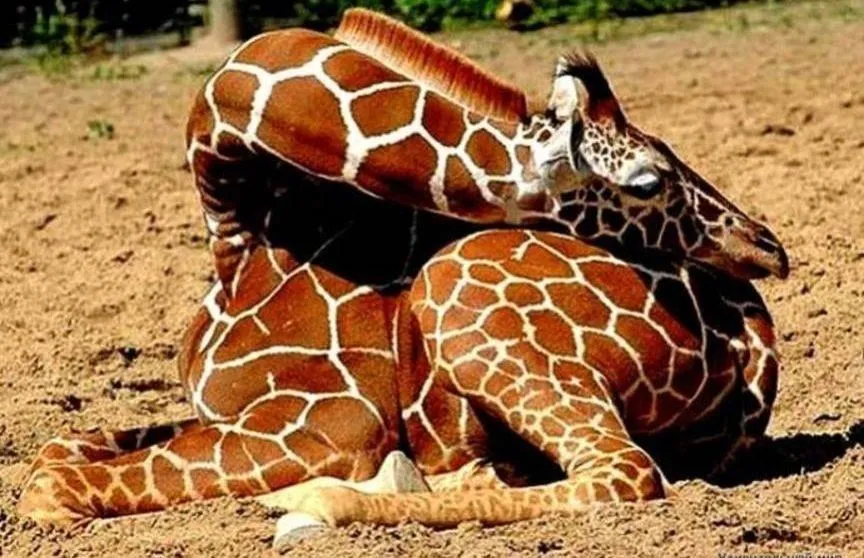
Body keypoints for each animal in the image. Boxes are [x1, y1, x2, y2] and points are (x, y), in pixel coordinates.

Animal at [18, 9, 788, 530]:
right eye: (649, 179)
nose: (767, 246)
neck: (242, 243)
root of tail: (756, 340)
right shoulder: (220, 412)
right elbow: (58, 446)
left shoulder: (327, 421)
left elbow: (50, 488)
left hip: (455, 284)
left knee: (623, 472)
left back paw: (314, 502)